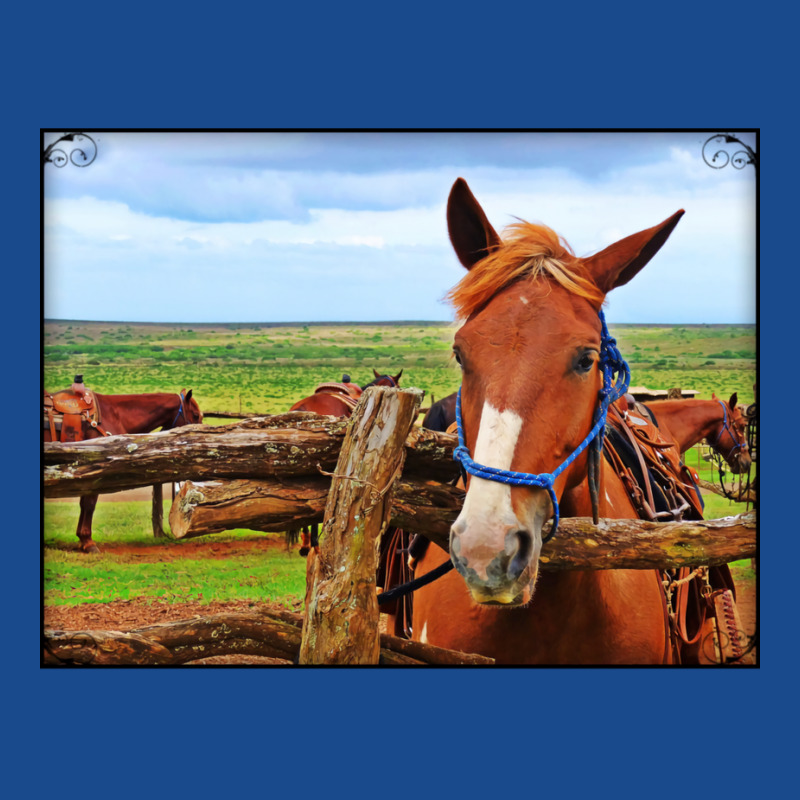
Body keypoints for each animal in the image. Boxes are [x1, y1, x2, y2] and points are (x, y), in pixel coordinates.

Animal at [43, 386, 203, 552]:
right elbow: (89, 504)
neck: (115, 415)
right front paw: (88, 541)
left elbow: (84, 503)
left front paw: (82, 540)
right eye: (196, 415)